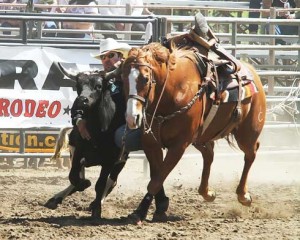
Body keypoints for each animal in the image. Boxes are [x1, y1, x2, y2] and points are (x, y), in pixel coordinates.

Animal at [122, 42, 268, 223]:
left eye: (145, 78)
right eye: (123, 77)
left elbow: (156, 180)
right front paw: (154, 207)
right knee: (209, 155)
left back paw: (243, 195)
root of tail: (252, 72)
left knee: (250, 153)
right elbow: (156, 177)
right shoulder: (151, 143)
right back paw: (207, 192)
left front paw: (142, 210)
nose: (132, 117)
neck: (173, 92)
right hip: (201, 138)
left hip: (247, 133)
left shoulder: (179, 146)